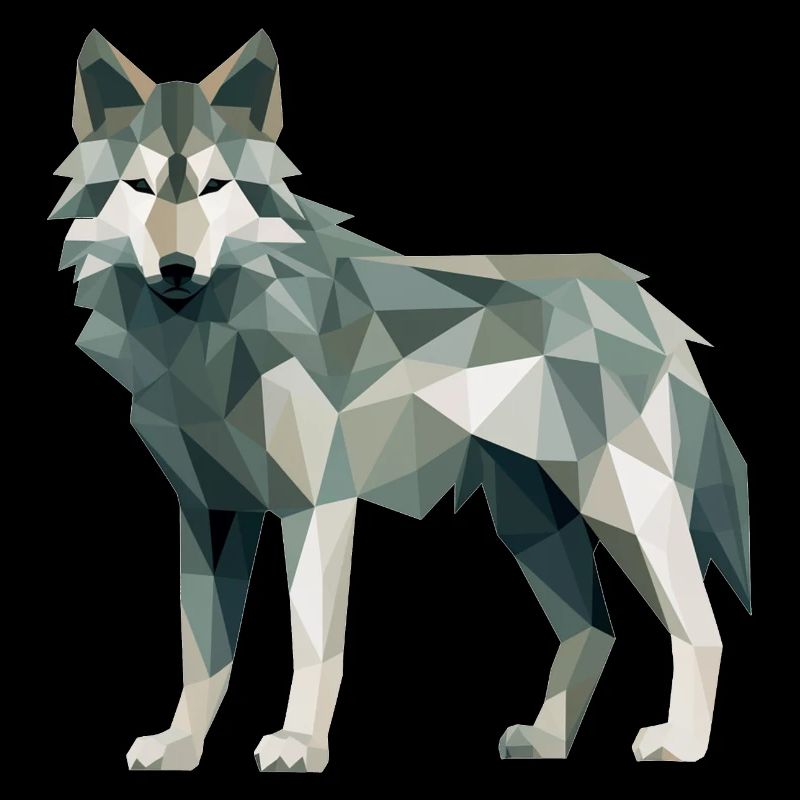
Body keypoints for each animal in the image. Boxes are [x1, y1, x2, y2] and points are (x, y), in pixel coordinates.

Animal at [52, 29, 750, 771]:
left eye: (214, 187)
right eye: (139, 186)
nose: (177, 269)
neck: (211, 339)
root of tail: (651, 307)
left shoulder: (316, 506)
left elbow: (313, 648)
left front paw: (299, 745)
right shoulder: (207, 512)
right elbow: (201, 656)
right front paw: (179, 745)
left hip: (626, 511)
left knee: (701, 629)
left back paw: (679, 743)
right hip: (532, 523)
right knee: (594, 629)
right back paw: (547, 740)